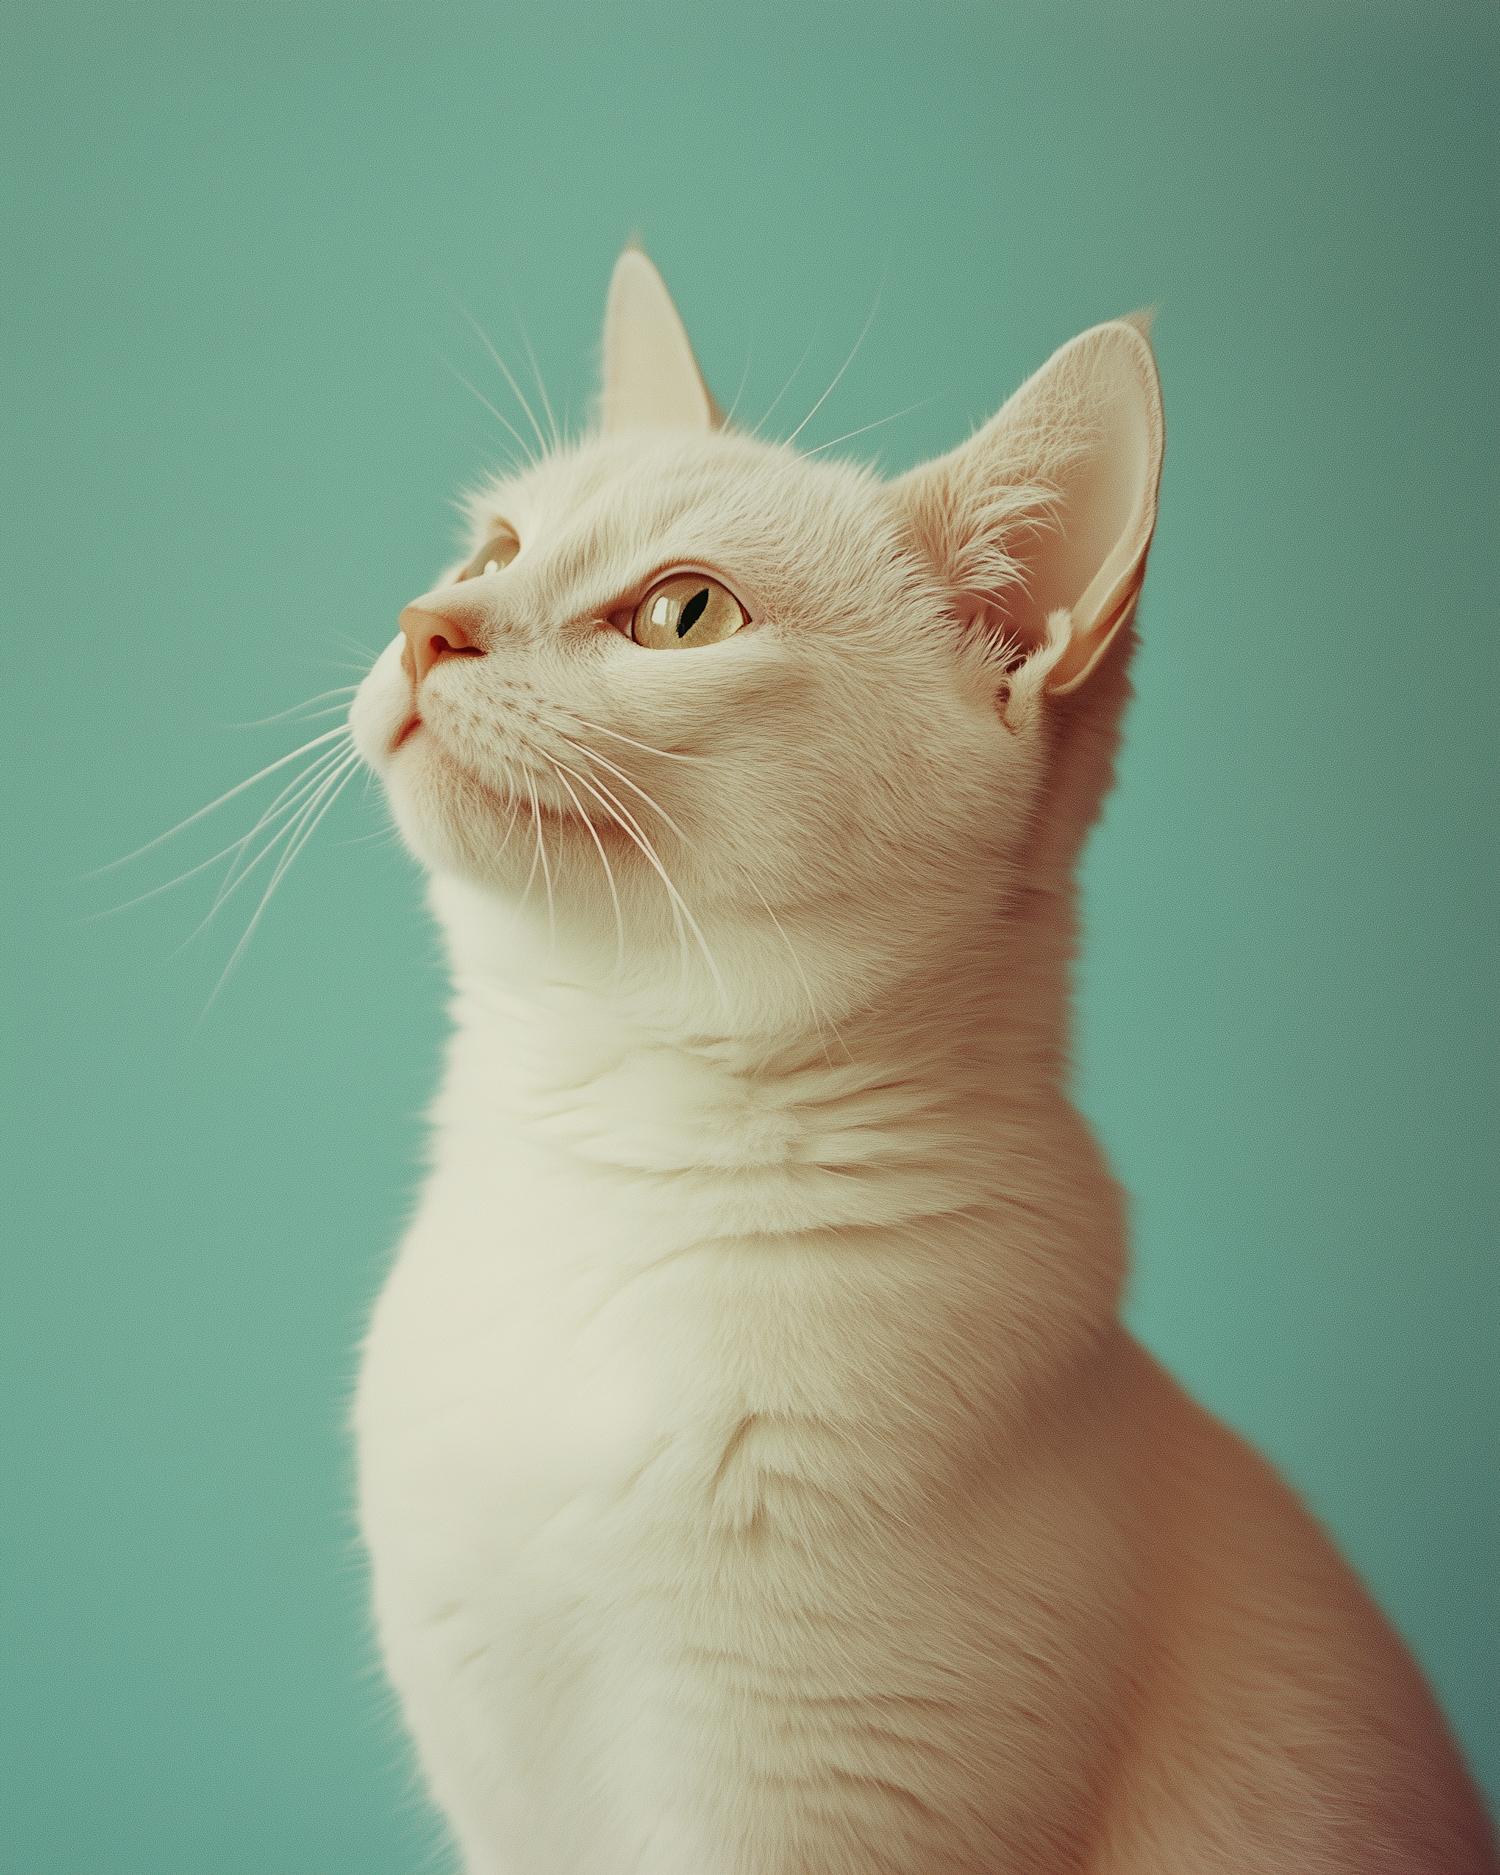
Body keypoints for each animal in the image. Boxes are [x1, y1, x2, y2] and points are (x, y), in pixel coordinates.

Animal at [348, 253, 1485, 1875]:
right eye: (496, 543)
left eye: (684, 613)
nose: (426, 620)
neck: (596, 1173)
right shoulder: (505, 1812)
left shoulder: (796, 1817)